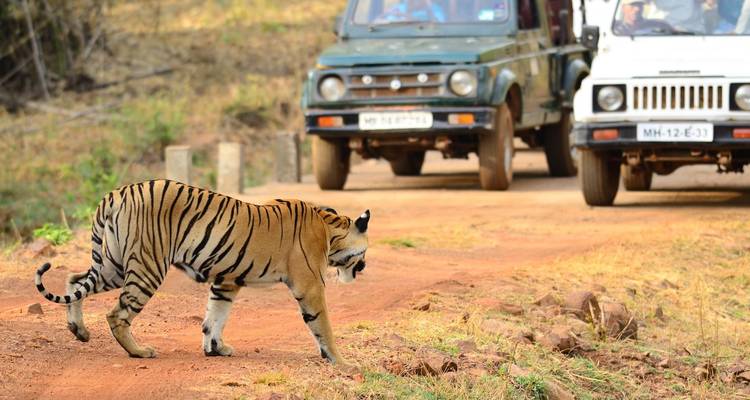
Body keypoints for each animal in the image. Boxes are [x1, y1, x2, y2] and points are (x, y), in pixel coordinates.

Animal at [34, 179, 369, 370]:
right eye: (364, 254)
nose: (364, 267)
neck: (329, 227)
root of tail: (117, 193)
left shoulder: (226, 281)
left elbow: (215, 317)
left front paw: (216, 349)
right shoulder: (310, 285)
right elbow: (323, 326)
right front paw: (342, 363)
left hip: (114, 265)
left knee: (75, 280)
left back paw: (79, 330)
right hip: (147, 267)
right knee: (117, 314)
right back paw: (139, 352)